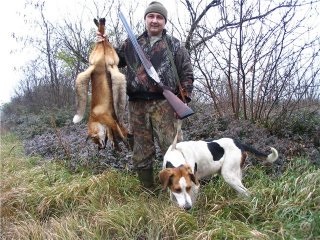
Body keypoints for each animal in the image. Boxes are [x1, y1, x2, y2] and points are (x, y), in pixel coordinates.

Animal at [73, 18, 127, 148]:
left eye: (95, 139)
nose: (100, 148)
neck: (95, 117)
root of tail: (94, 66)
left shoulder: (110, 120)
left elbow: (119, 131)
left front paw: (125, 140)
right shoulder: (111, 119)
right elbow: (113, 133)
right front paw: (116, 144)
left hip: (102, 59)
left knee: (102, 40)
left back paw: (100, 26)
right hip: (112, 60)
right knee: (104, 39)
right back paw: (100, 25)